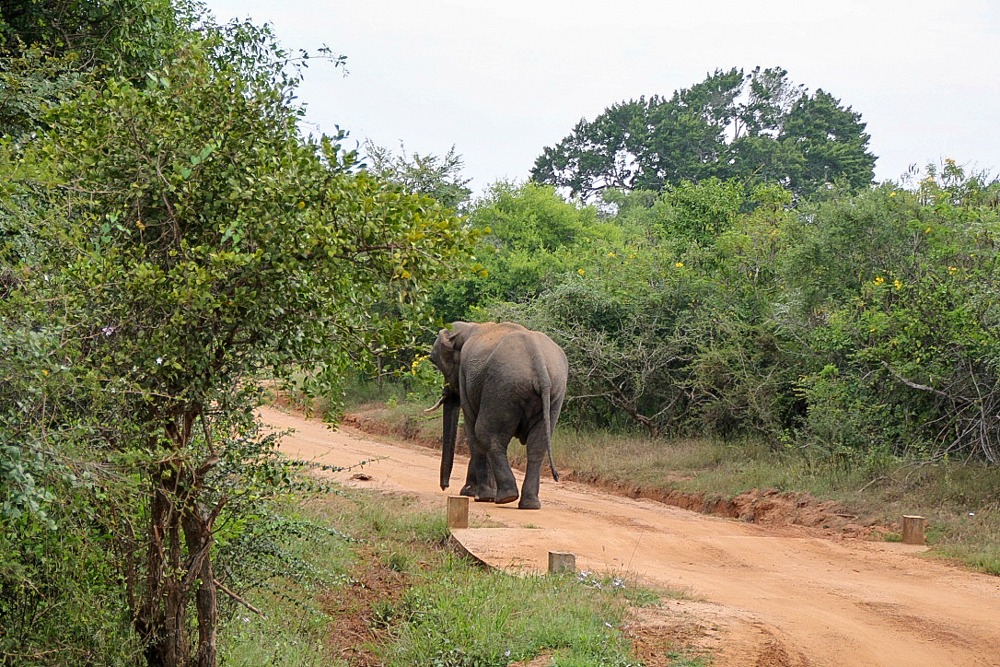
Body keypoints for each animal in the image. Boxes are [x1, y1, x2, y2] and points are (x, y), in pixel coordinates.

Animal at [426, 320, 572, 508]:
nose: (445, 486)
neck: (469, 327)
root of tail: (539, 363)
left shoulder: (465, 376)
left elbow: (471, 430)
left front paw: (474, 494)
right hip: (553, 393)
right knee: (536, 445)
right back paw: (529, 504)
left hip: (502, 387)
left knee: (486, 434)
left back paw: (504, 498)